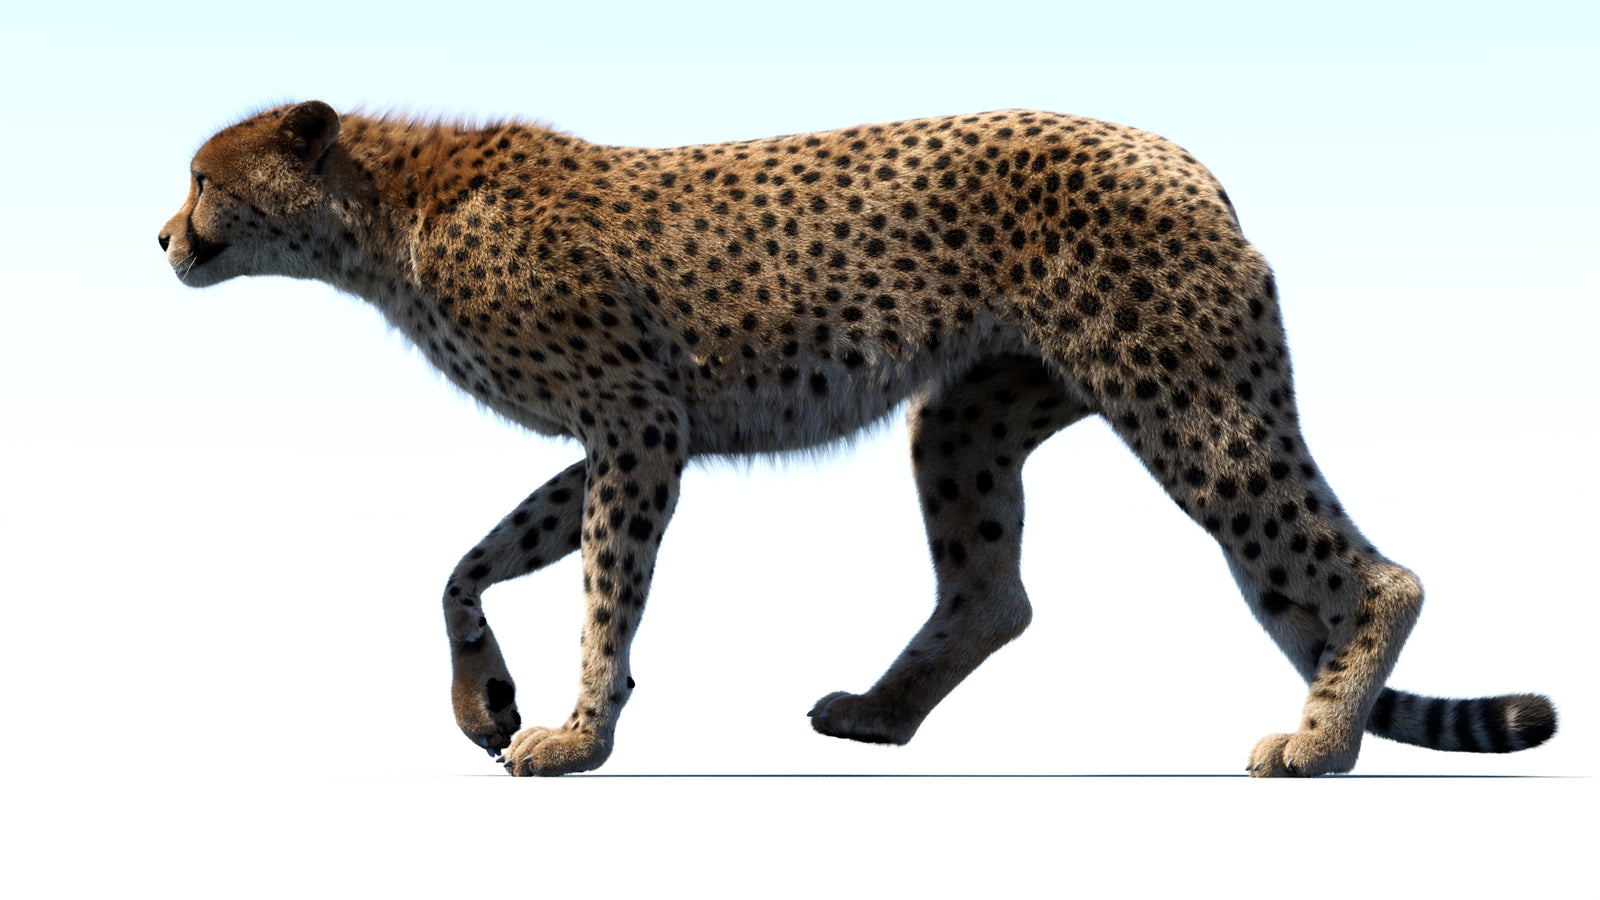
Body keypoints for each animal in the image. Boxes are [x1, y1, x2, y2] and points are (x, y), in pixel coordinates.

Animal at [159, 101, 1557, 776]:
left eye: (203, 178)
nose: (164, 236)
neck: (382, 213)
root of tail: (1179, 156)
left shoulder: (637, 425)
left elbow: (605, 595)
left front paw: (575, 735)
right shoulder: (629, 435)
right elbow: (466, 564)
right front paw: (483, 701)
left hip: (1184, 397)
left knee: (1371, 573)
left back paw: (1319, 745)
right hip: (971, 414)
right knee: (992, 591)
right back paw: (882, 714)